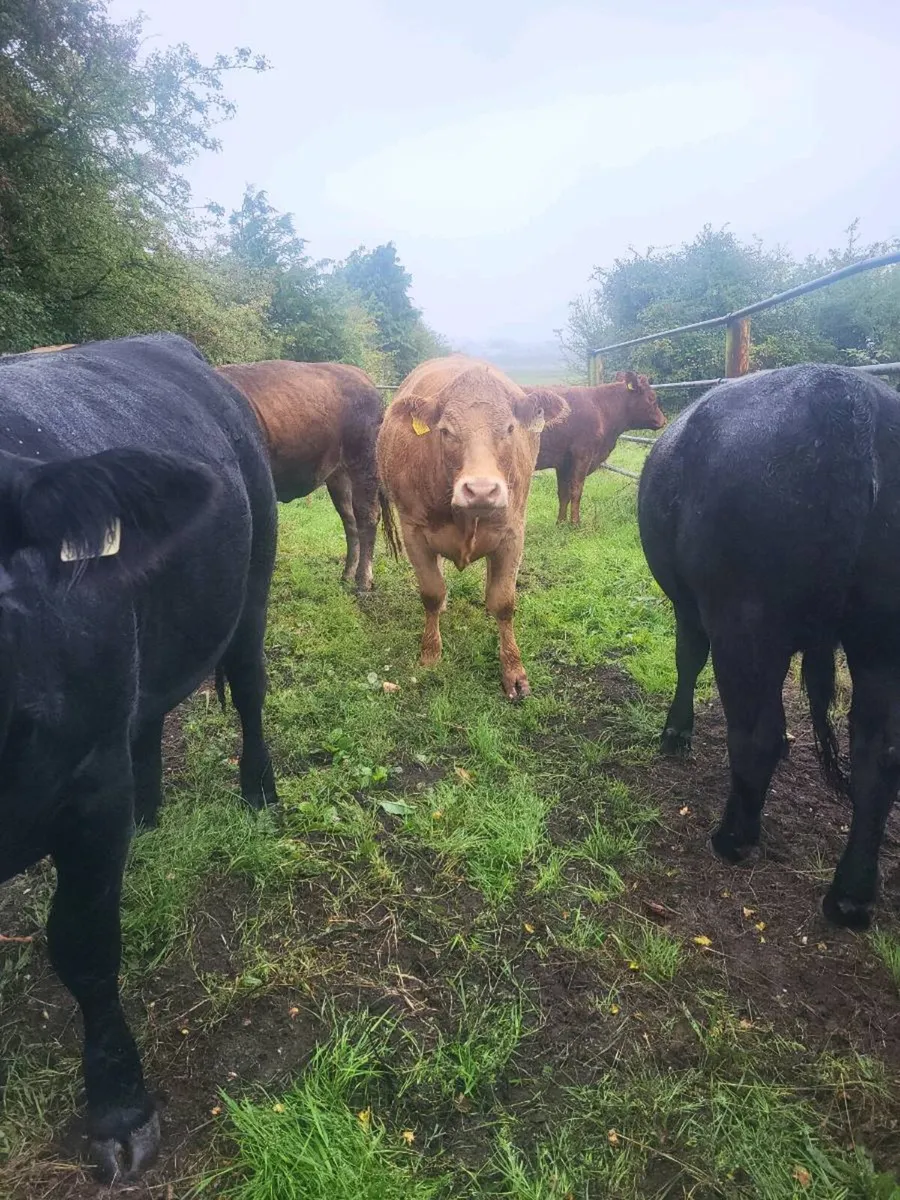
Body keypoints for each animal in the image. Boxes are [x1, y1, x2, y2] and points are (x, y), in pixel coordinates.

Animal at [0, 334, 278, 1178]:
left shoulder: (87, 783)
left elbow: (85, 946)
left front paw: (120, 1108)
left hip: (252, 588)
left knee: (249, 689)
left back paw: (261, 794)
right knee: (150, 715)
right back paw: (151, 818)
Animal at [217, 360, 394, 592]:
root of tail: (362, 377)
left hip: (364, 463)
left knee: (367, 517)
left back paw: (363, 582)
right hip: (338, 476)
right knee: (350, 519)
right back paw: (346, 574)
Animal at [376, 355, 567, 699]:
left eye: (509, 428)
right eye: (445, 430)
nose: (481, 490)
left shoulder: (513, 533)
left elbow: (504, 601)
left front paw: (513, 671)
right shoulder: (413, 532)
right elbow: (432, 592)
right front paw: (430, 653)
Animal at [533, 371, 666, 525]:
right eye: (651, 398)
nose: (664, 420)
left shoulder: (563, 462)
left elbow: (563, 493)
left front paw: (560, 523)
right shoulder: (583, 454)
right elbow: (576, 490)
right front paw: (575, 524)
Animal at [638, 363, 900, 930]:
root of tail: (848, 398)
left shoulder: (691, 606)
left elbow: (687, 659)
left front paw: (676, 733)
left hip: (746, 624)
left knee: (759, 733)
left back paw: (733, 838)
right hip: (881, 643)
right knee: (879, 757)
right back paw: (851, 896)